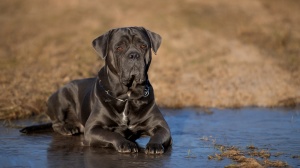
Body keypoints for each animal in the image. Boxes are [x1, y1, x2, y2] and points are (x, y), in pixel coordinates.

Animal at [21, 26, 171, 154]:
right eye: (119, 47)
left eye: (143, 46)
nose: (134, 55)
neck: (127, 96)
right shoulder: (93, 129)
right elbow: (112, 135)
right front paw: (126, 143)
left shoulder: (162, 127)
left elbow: (159, 135)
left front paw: (154, 145)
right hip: (62, 96)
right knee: (55, 124)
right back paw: (68, 128)